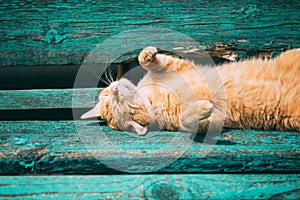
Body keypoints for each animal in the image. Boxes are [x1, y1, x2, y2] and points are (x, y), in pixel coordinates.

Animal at [81, 46, 298, 134]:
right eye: (119, 106)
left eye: (108, 96)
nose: (115, 88)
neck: (151, 97)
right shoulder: (210, 122)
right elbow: (188, 119)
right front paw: (202, 107)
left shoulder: (181, 67)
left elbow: (150, 60)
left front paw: (148, 54)